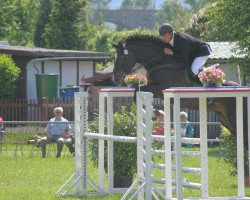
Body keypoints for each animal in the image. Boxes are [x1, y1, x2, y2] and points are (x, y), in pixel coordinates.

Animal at [113, 34, 248, 147]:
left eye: (121, 57)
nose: (116, 78)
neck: (162, 63)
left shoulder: (160, 89)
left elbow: (138, 91)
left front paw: (153, 112)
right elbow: (137, 91)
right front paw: (153, 112)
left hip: (235, 117)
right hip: (225, 120)